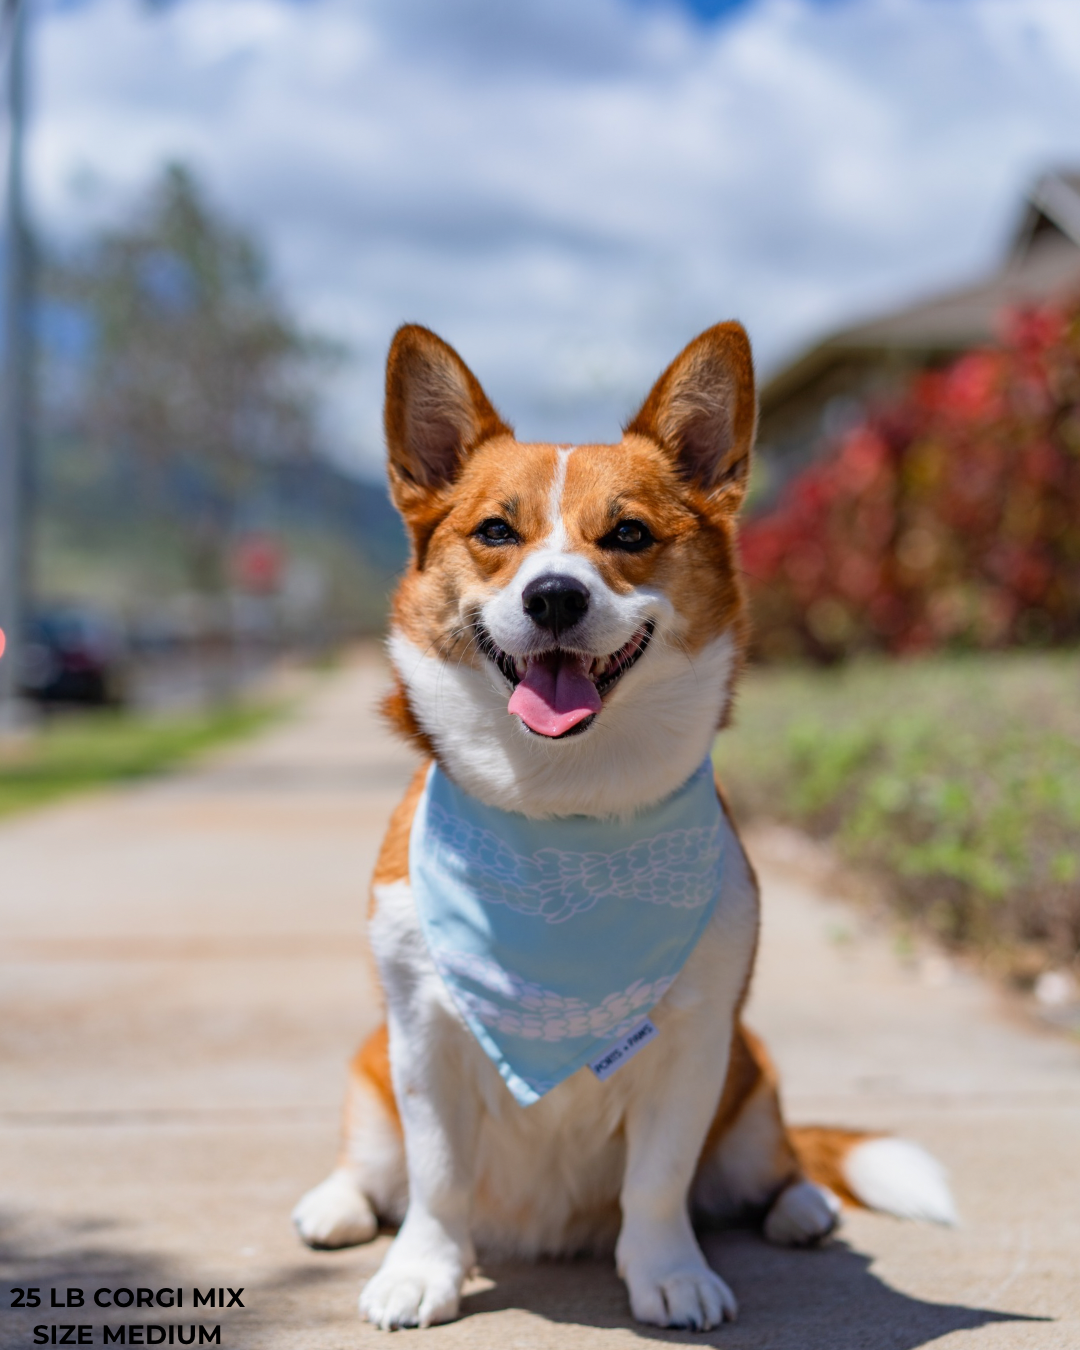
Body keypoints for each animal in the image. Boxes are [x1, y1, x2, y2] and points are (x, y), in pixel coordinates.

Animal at [291, 324, 955, 1328]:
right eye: (497, 532)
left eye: (629, 535)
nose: (555, 598)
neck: (563, 809)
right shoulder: (423, 1039)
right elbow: (437, 1177)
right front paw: (423, 1270)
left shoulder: (696, 1046)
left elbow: (660, 1180)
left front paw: (669, 1273)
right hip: (373, 1066)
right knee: (375, 1165)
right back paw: (336, 1203)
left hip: (752, 1073)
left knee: (777, 1159)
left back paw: (803, 1206)